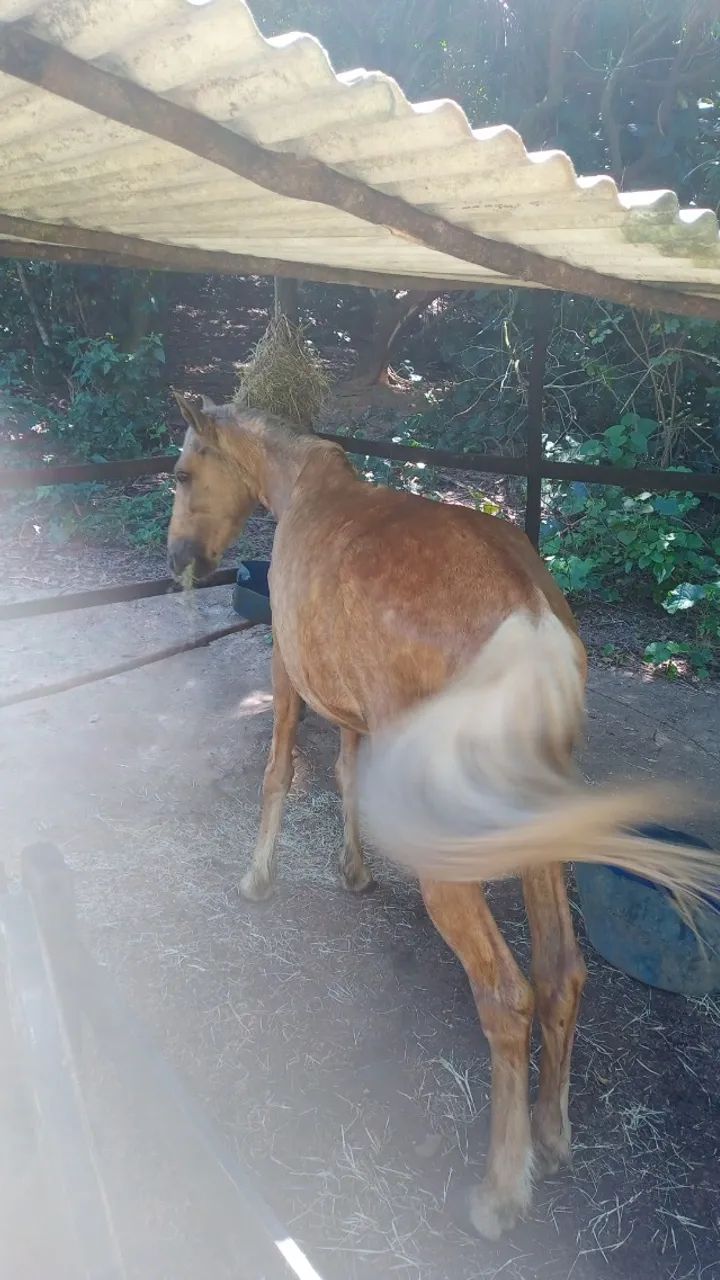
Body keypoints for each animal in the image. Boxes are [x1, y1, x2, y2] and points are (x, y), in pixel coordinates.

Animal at [167, 391, 715, 1240]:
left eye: (187, 473)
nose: (177, 561)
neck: (303, 485)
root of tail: (529, 623)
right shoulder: (353, 710)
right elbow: (346, 771)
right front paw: (354, 870)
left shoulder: (287, 670)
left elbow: (279, 769)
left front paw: (258, 878)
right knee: (561, 972)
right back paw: (552, 1136)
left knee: (508, 995)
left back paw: (501, 1191)